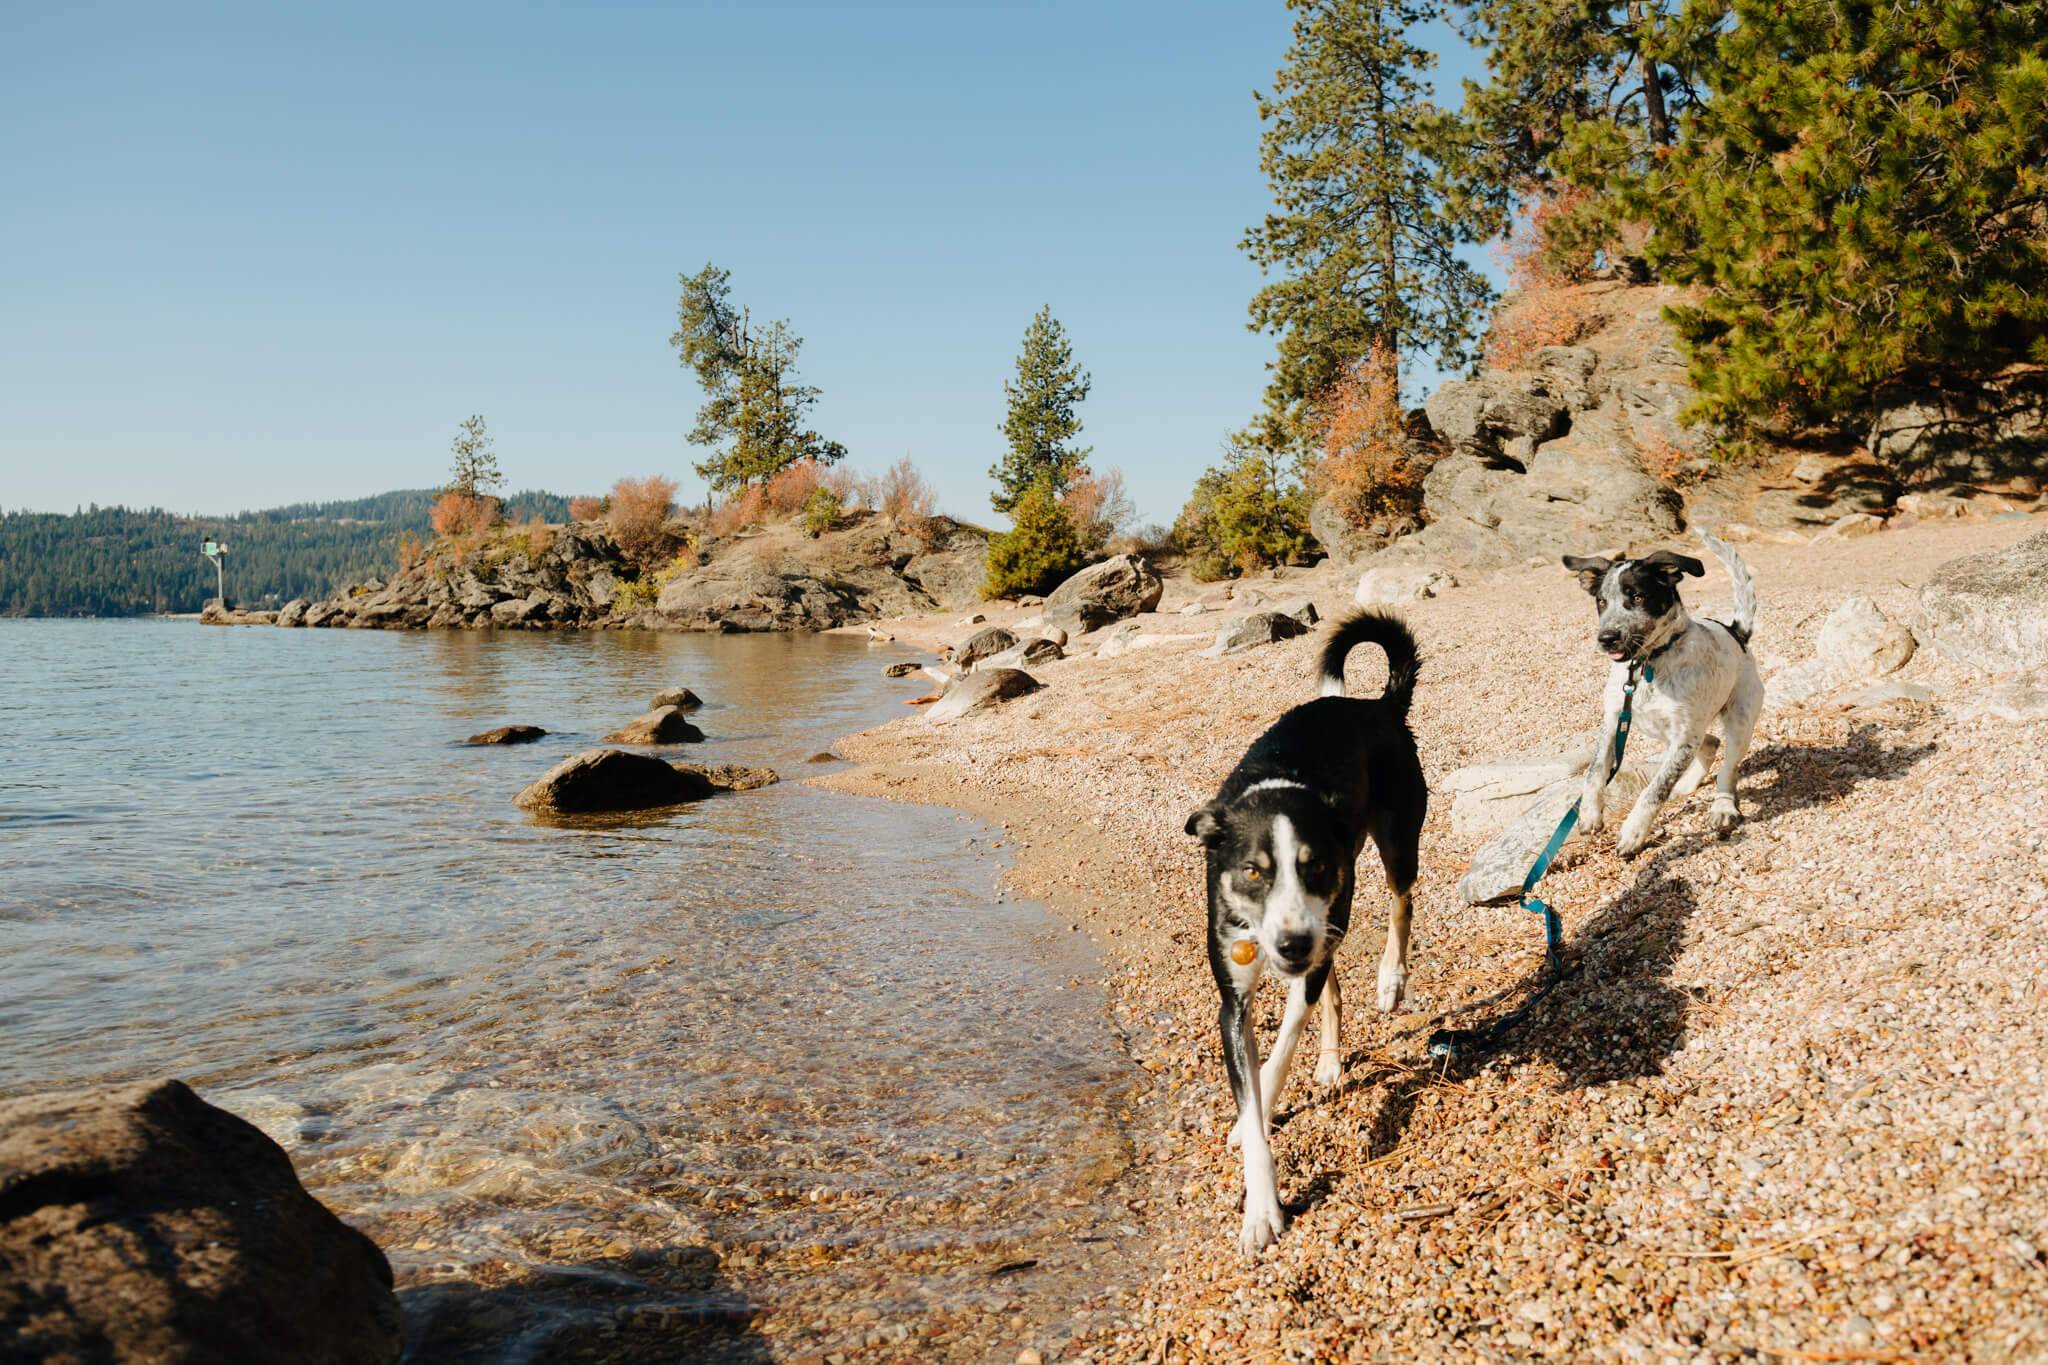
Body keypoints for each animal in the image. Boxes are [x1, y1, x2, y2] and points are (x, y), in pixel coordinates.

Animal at [1187, 613, 1425, 1252]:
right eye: (1252, 871)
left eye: (1314, 864)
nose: (1290, 945)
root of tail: (1377, 705)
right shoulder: (1233, 1002)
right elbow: (1251, 1098)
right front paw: (1261, 1207)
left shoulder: (1315, 939)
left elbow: (1281, 1047)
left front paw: (1266, 1102)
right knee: (1334, 983)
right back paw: (1332, 1063)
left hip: (1392, 849)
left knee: (1400, 904)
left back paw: (1391, 978)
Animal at [1564, 532, 1761, 859]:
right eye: (1601, 602)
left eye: (1638, 597)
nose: (1606, 638)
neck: (1648, 665)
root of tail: (1737, 634)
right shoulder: (1615, 718)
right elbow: (1594, 771)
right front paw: (1590, 814)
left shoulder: (1683, 737)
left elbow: (1654, 790)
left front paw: (1633, 832)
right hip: (1664, 729)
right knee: (1710, 743)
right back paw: (1689, 784)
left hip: (1739, 719)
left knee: (1728, 767)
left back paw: (1722, 807)